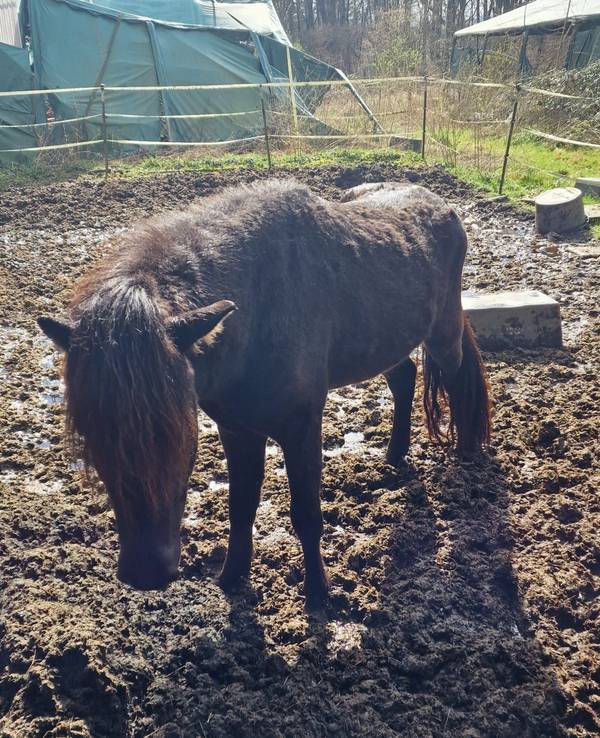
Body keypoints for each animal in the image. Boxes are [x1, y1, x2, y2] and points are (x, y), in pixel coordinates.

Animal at [38, 178, 491, 609]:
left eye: (178, 434)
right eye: (92, 435)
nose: (147, 571)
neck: (257, 313)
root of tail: (439, 202)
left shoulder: (302, 427)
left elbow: (307, 515)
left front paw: (318, 594)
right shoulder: (237, 430)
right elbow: (240, 508)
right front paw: (231, 578)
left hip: (443, 332)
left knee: (456, 377)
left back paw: (466, 454)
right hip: (385, 341)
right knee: (404, 377)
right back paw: (394, 456)